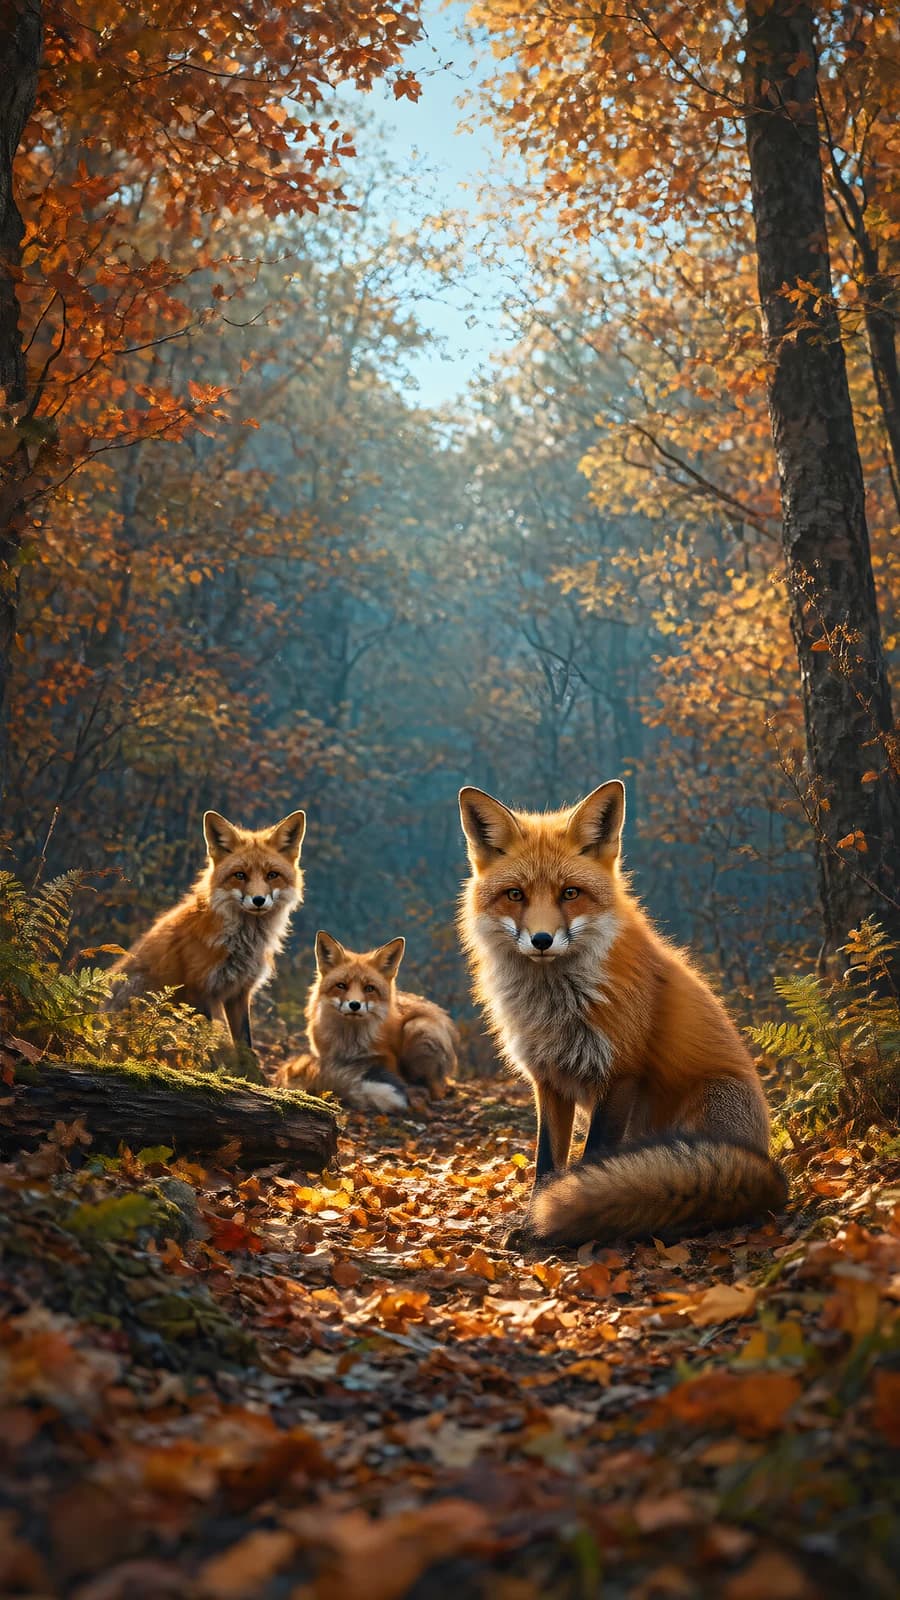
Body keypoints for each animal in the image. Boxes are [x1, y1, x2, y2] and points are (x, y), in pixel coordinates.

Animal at [111, 809, 306, 1050]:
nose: (258, 900)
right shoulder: (198, 990)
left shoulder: (239, 992)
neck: (242, 943)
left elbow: (245, 1046)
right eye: (240, 875)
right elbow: (205, 1045)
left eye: (272, 875)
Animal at [283, 930, 458, 1112]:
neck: (350, 1042)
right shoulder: (327, 1059)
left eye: (369, 988)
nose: (354, 1005)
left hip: (419, 1028)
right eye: (341, 985)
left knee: (435, 1090)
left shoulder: (386, 1061)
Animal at [458, 780, 788, 1248]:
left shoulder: (619, 1072)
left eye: (570, 893)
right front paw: (532, 1220)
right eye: (516, 895)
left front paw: (560, 1217)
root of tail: (771, 1170)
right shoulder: (549, 1080)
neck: (556, 1008)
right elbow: (547, 1162)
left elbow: (591, 1158)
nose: (541, 940)